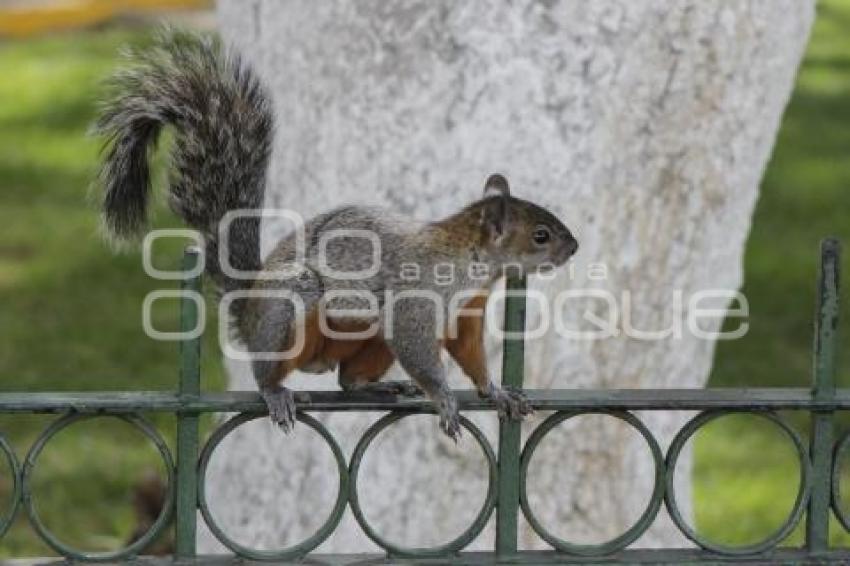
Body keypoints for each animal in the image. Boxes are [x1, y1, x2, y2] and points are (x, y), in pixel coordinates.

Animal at [96, 28, 580, 442]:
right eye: (541, 235)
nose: (574, 248)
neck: (469, 260)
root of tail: (248, 309)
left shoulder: (466, 312)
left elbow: (471, 354)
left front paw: (493, 391)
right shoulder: (415, 300)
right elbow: (422, 353)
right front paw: (444, 399)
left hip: (368, 339)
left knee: (347, 380)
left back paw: (375, 387)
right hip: (290, 307)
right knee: (267, 368)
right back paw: (275, 391)